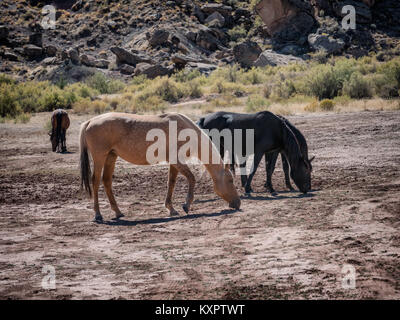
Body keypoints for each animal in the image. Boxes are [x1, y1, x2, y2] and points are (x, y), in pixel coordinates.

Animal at [79, 111, 239, 221]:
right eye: (230, 180)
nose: (238, 203)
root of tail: (90, 121)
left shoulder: (174, 163)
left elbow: (171, 183)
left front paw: (171, 208)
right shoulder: (177, 161)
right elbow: (192, 179)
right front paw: (186, 205)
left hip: (111, 157)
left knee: (106, 181)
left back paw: (118, 212)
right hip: (100, 157)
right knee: (95, 181)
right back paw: (98, 215)